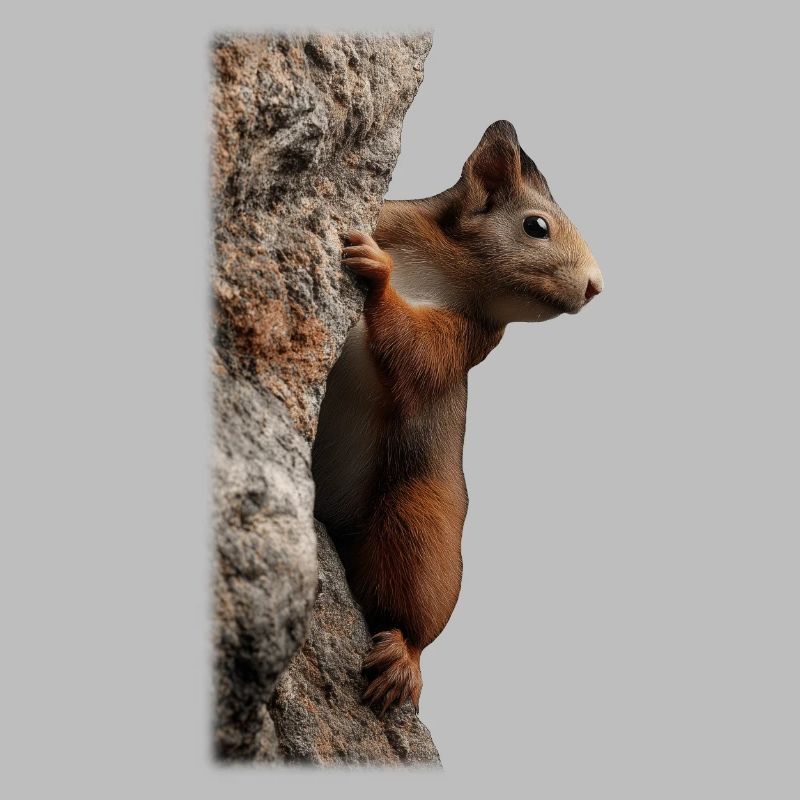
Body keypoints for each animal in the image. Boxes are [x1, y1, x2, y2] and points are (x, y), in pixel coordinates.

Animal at [312, 120, 603, 714]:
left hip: (423, 517)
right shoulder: (396, 219)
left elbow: (419, 353)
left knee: (415, 600)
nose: (596, 284)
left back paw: (403, 657)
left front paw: (378, 276)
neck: (452, 266)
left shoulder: (469, 338)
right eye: (536, 226)